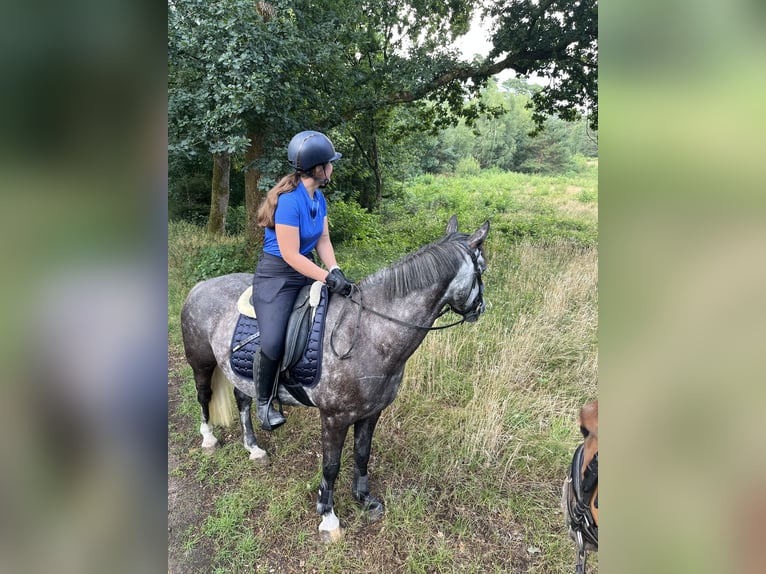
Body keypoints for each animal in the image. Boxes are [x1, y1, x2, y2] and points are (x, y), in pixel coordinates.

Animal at [180, 215, 490, 541]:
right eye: (482, 269)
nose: (481, 308)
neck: (368, 331)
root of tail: (200, 286)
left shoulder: (371, 412)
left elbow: (362, 454)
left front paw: (365, 499)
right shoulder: (334, 417)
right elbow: (331, 465)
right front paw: (328, 517)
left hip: (239, 372)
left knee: (242, 400)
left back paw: (254, 448)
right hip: (201, 363)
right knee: (204, 396)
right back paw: (209, 439)